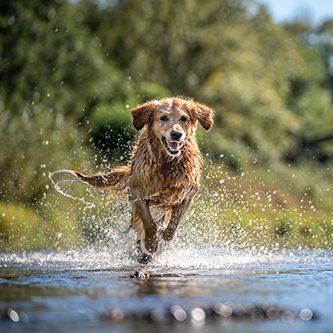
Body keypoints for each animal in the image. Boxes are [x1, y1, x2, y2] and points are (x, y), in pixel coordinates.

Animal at [69, 96, 213, 262]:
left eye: (184, 119)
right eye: (163, 118)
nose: (176, 134)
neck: (167, 164)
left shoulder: (187, 194)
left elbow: (172, 226)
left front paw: (162, 238)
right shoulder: (137, 192)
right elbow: (149, 223)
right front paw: (150, 244)